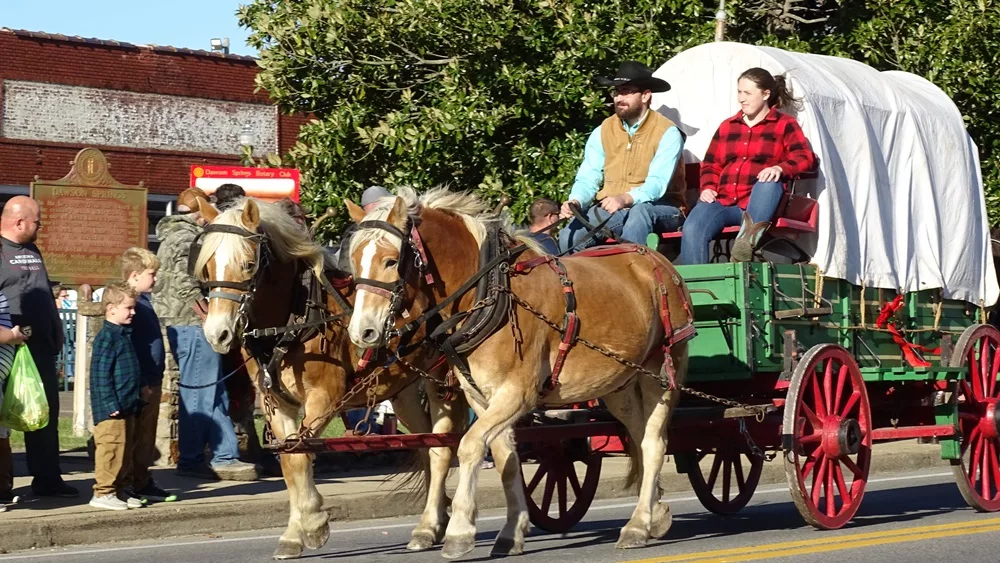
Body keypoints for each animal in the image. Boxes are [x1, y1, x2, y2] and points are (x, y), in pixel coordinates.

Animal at [194, 197, 468, 560]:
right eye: (208, 268)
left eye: (249, 264)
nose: (217, 333)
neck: (295, 317)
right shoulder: (274, 402)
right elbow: (289, 462)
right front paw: (295, 533)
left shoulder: (324, 397)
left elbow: (300, 457)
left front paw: (312, 524)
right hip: (404, 390)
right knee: (427, 445)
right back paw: (436, 520)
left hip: (443, 383)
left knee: (443, 449)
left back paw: (434, 522)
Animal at [344, 188, 696, 560]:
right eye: (353, 261)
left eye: (390, 261)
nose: (362, 332)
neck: (490, 292)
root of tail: (657, 260)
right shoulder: (482, 398)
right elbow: (505, 459)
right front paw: (512, 531)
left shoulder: (516, 393)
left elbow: (470, 445)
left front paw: (459, 532)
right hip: (620, 385)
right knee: (638, 439)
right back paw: (654, 513)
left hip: (662, 369)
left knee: (654, 443)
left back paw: (638, 525)